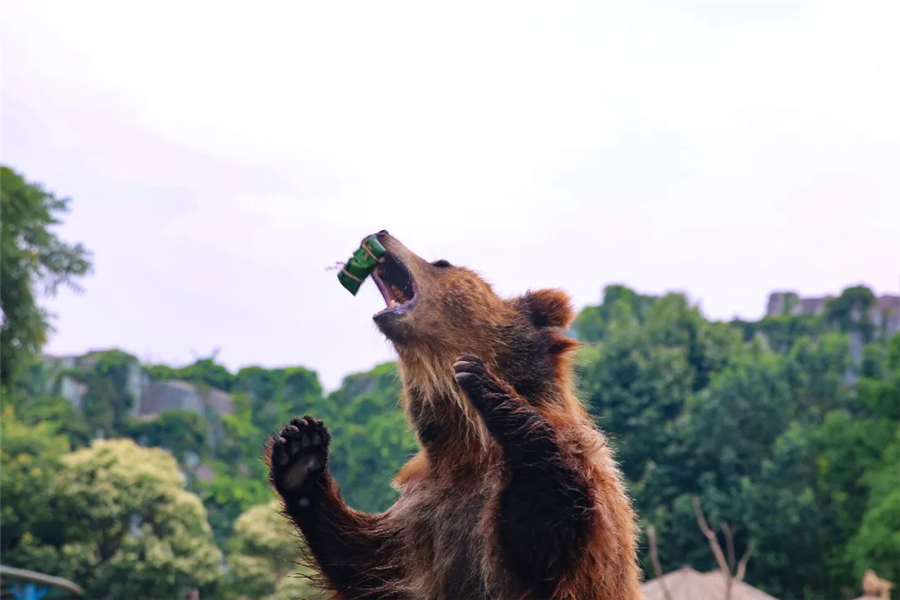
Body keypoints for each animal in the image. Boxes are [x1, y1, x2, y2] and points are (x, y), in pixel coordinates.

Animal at [264, 231, 644, 600]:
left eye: (441, 262)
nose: (380, 232)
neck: (468, 442)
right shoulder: (424, 517)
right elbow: (368, 562)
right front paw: (301, 452)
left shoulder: (583, 487)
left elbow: (547, 530)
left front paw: (481, 380)